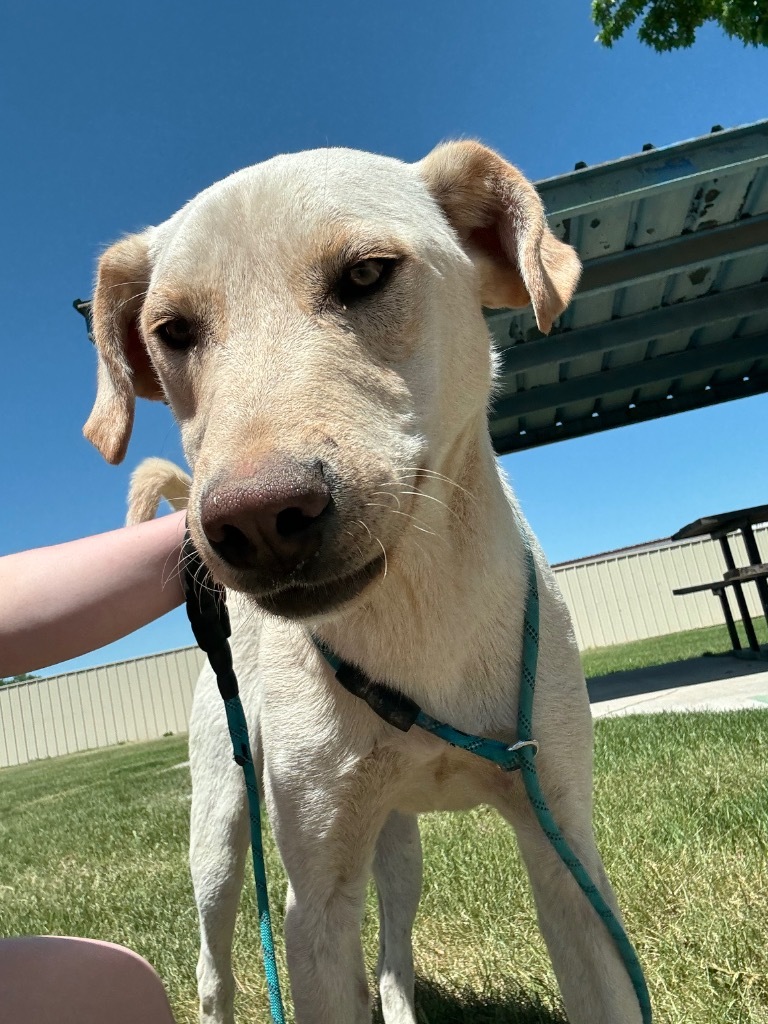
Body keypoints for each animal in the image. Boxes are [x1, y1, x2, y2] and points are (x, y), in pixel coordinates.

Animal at [85, 144, 643, 1024]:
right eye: (171, 332)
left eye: (367, 274)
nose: (254, 521)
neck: (419, 618)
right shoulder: (314, 898)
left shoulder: (566, 854)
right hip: (221, 829)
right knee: (214, 964)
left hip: (398, 842)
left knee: (394, 953)